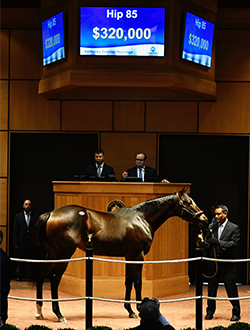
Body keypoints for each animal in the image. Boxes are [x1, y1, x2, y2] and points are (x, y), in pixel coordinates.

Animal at [28, 188, 207, 322]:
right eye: (188, 202)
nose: (204, 219)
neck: (142, 218)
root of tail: (51, 214)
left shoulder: (129, 256)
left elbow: (128, 282)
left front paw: (130, 311)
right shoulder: (138, 256)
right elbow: (138, 282)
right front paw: (139, 308)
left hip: (51, 255)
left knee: (41, 277)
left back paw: (39, 312)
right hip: (63, 255)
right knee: (54, 280)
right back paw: (59, 314)